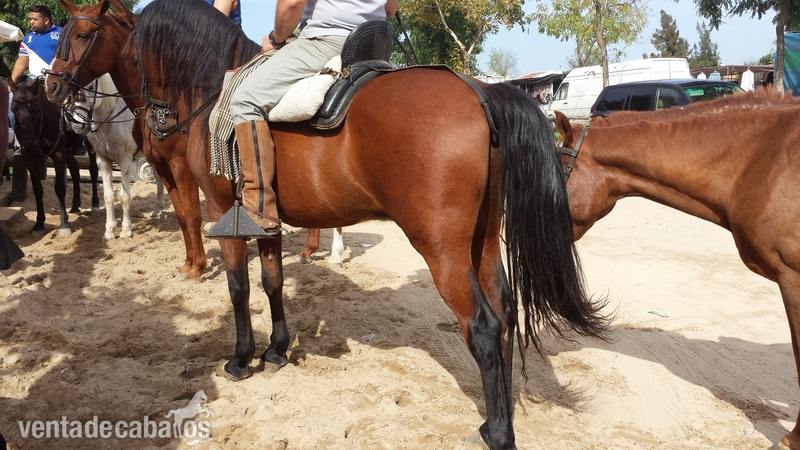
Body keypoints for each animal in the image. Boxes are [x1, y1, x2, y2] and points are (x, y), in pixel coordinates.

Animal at [10, 75, 97, 237]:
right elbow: (37, 189)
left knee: (93, 170)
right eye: (13, 109)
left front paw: (64, 224)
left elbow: (60, 187)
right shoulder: (29, 156)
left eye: (36, 108)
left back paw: (95, 204)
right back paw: (75, 206)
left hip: (90, 144)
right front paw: (39, 224)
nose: (29, 144)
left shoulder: (58, 154)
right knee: (75, 171)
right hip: (68, 151)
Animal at [64, 73, 166, 241]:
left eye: (91, 86)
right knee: (159, 178)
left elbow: (124, 195)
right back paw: (157, 210)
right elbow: (108, 196)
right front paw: (109, 231)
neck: (109, 120)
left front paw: (126, 230)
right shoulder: (102, 161)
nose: (78, 125)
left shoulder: (124, 160)